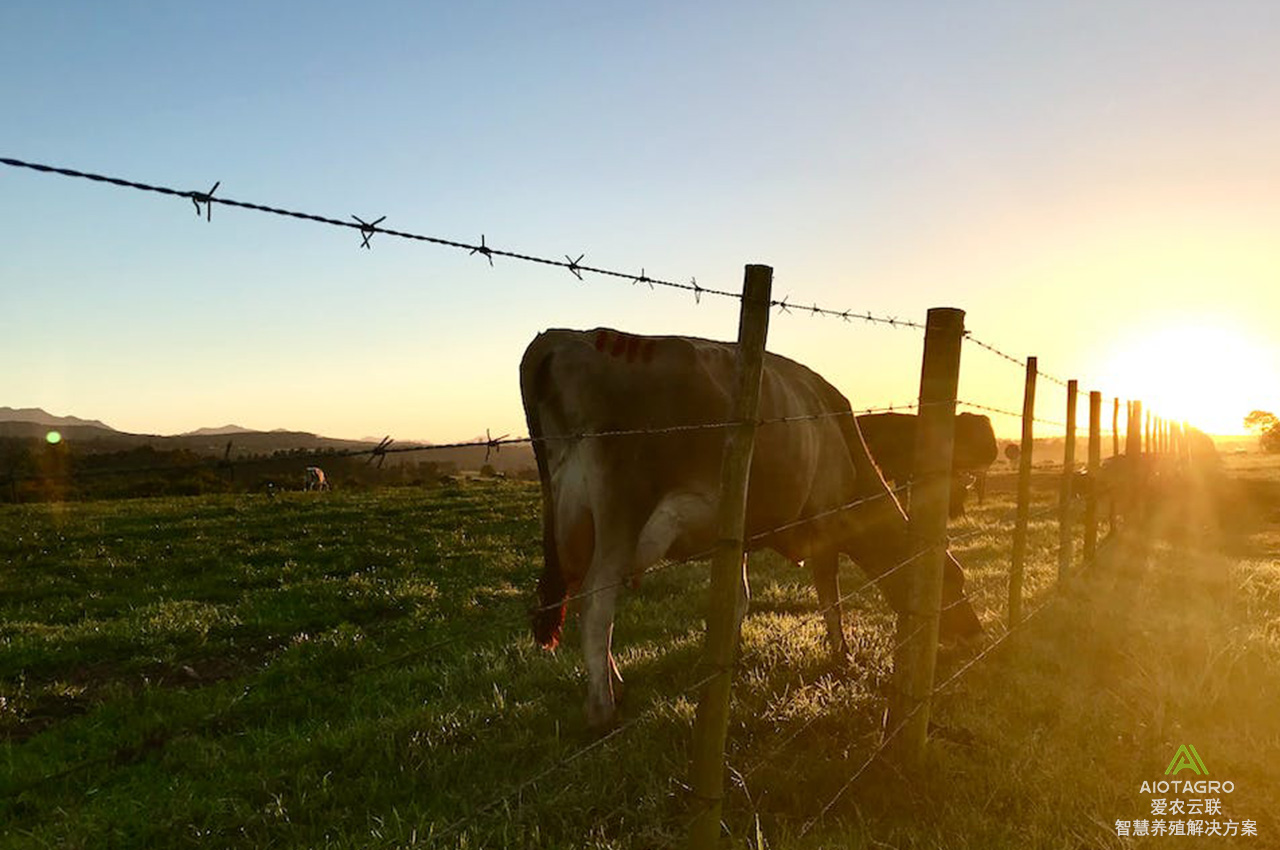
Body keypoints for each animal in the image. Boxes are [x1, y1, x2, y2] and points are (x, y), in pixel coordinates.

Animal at [519, 327, 977, 727]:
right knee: (597, 605)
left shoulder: (737, 537)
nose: (974, 632)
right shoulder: (824, 522)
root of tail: (561, 337)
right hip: (621, 508)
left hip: (573, 522)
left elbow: (738, 600)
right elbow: (830, 598)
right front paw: (842, 655)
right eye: (953, 583)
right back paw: (602, 709)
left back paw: (615, 684)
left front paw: (729, 658)